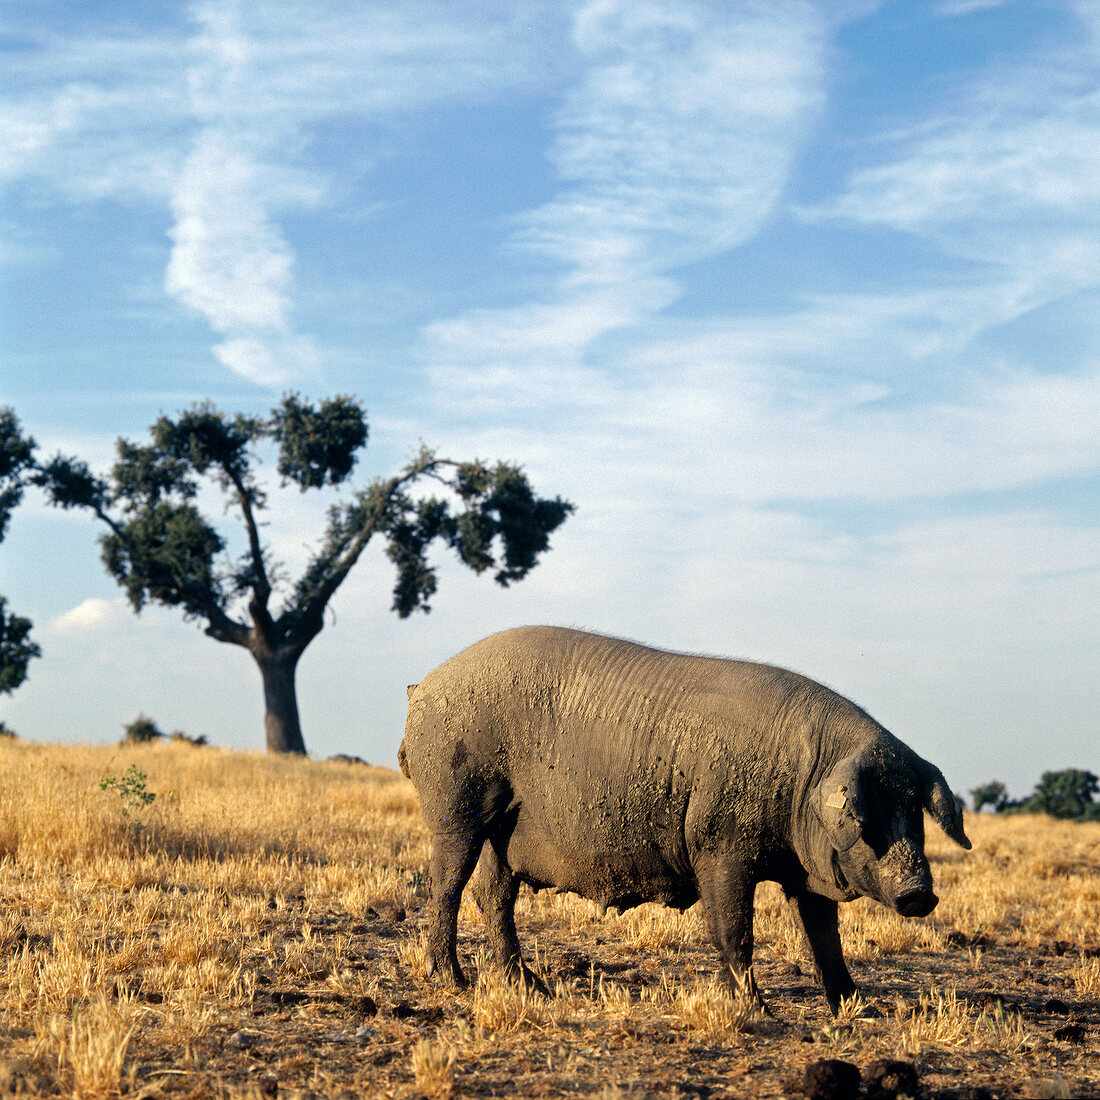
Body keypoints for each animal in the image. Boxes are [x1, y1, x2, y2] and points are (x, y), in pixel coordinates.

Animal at [400, 629, 968, 1012]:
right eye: (866, 818)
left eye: (912, 813)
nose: (919, 893)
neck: (804, 782)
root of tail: (422, 687)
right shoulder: (718, 844)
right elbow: (733, 928)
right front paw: (758, 1011)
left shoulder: (806, 875)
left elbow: (825, 938)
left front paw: (859, 1011)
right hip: (455, 801)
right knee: (446, 885)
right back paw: (452, 981)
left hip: (504, 832)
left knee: (494, 894)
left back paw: (531, 989)